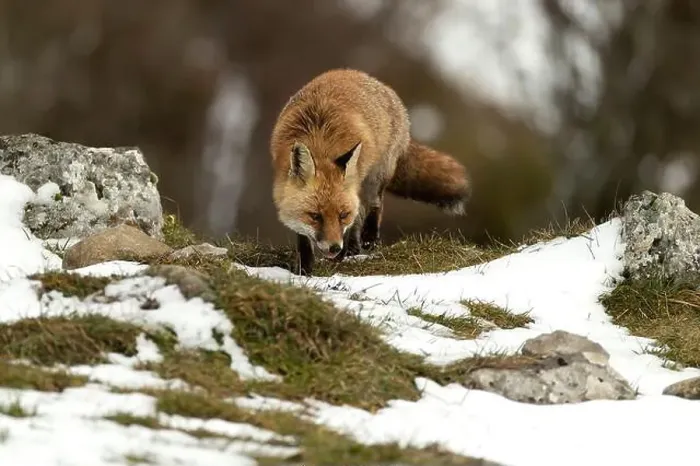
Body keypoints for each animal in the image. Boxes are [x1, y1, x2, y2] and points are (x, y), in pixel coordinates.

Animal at [270, 68, 471, 275]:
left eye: (343, 215)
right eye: (315, 216)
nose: (335, 248)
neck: (319, 141)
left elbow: (354, 220)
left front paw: (341, 256)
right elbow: (303, 237)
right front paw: (304, 268)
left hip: (375, 176)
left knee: (374, 204)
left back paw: (366, 239)